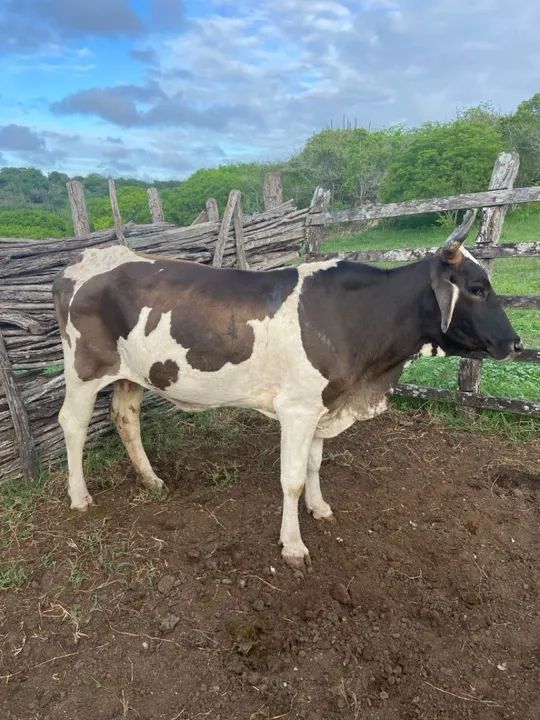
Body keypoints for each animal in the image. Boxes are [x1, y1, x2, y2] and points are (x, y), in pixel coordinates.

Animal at [53, 210, 523, 568]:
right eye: (477, 288)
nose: (516, 342)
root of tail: (84, 257)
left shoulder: (323, 405)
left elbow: (314, 465)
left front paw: (320, 507)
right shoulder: (297, 409)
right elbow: (292, 478)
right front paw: (293, 545)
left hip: (132, 372)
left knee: (125, 418)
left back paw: (151, 480)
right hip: (83, 369)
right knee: (72, 423)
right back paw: (79, 497)